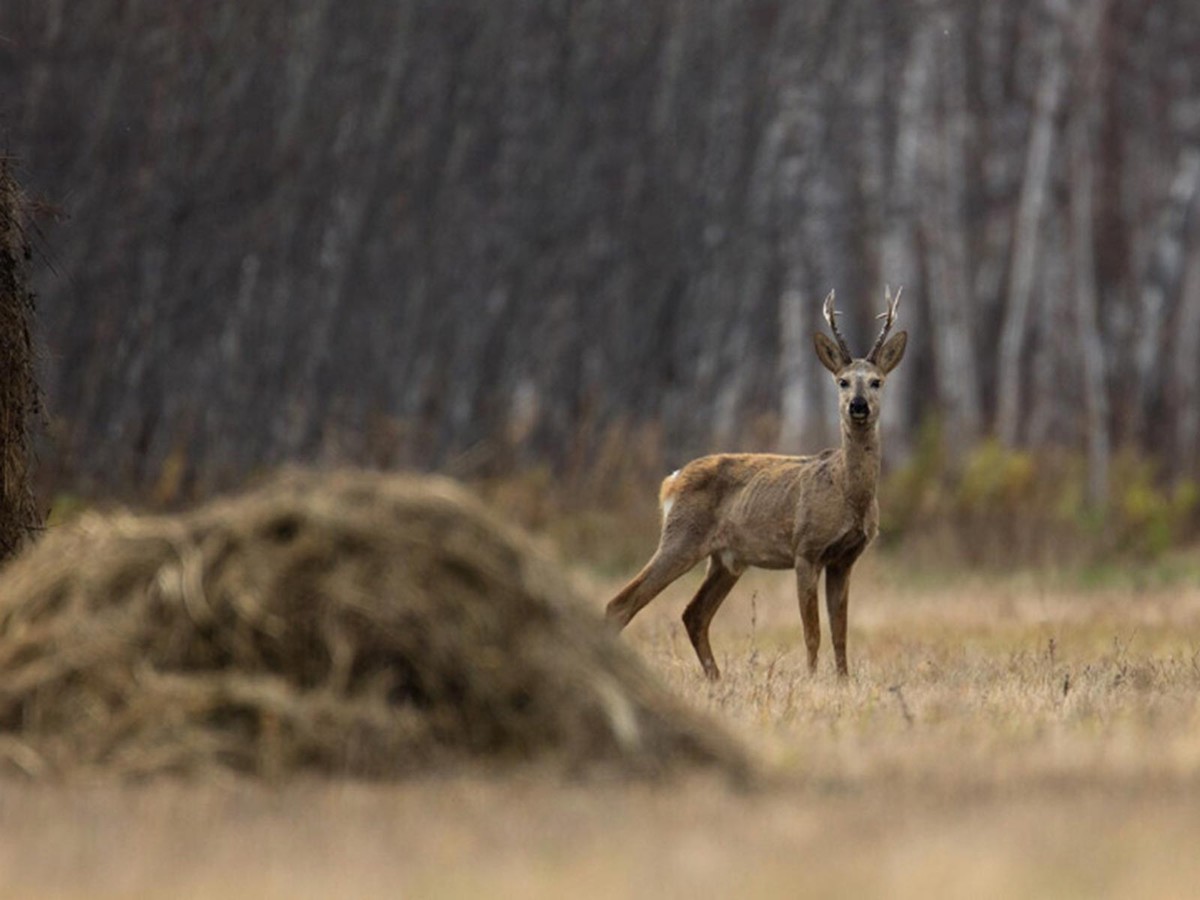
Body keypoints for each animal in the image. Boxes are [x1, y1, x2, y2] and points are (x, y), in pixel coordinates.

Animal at [604, 292, 902, 681]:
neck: (849, 493)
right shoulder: (806, 548)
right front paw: (811, 680)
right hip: (681, 537)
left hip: (727, 559)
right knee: (621, 603)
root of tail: (672, 480)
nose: (858, 406)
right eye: (842, 381)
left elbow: (840, 632)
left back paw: (716, 679)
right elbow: (812, 632)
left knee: (693, 613)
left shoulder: (845, 558)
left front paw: (842, 681)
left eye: (877, 381)